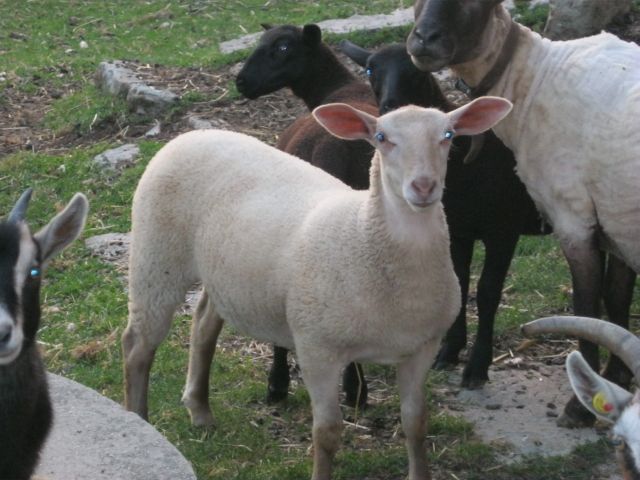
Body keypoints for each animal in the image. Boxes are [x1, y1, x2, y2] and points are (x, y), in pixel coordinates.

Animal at [121, 97, 513, 480]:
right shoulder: (317, 349)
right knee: (138, 344)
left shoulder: (421, 348)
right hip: (156, 254)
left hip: (224, 273)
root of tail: (191, 136)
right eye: (382, 138)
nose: (424, 186)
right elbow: (327, 433)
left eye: (448, 136)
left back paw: (200, 411)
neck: (363, 232)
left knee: (203, 325)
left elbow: (416, 424)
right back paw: (138, 420)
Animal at [340, 39, 554, 388]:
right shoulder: (460, 229)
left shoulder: (503, 230)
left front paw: (477, 367)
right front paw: (450, 351)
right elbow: (462, 281)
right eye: (371, 69)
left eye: (416, 71)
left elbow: (487, 292)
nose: (389, 106)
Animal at [408, 0, 640, 427]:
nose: (423, 40)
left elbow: (587, 306)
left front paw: (579, 407)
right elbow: (616, 301)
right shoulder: (617, 220)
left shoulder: (573, 215)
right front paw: (618, 378)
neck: (533, 78)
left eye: (476, 4)